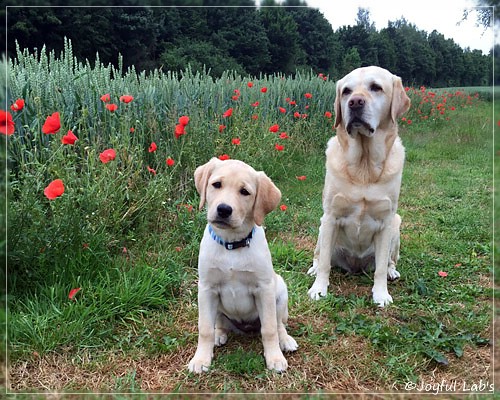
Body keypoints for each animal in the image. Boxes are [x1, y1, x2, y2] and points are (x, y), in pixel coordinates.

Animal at [188, 158, 296, 374]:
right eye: (216, 184)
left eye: (245, 192)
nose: (223, 209)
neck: (231, 244)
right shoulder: (206, 288)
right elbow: (205, 328)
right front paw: (200, 359)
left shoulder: (264, 288)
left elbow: (269, 329)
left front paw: (274, 358)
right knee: (219, 322)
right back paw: (219, 334)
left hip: (279, 291)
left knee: (279, 323)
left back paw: (285, 341)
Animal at [308, 67, 410, 308]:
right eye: (346, 91)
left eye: (376, 87)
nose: (355, 102)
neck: (364, 167)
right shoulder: (330, 216)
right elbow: (324, 262)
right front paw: (319, 289)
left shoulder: (386, 220)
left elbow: (380, 268)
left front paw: (381, 295)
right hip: (321, 227)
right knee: (320, 256)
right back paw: (313, 268)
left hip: (396, 225)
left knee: (389, 261)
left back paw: (392, 272)